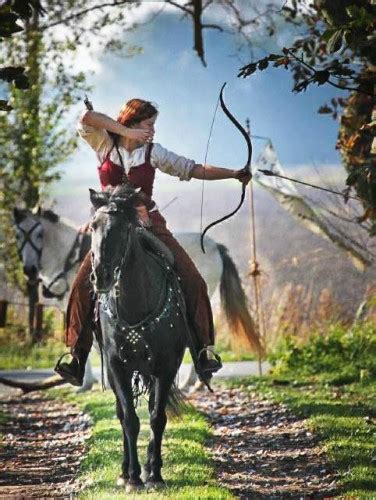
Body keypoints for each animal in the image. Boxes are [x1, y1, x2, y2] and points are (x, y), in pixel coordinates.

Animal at [88, 185, 188, 492]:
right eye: (93, 226)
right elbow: (130, 419)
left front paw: (154, 474)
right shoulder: (117, 366)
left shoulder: (166, 367)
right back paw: (125, 471)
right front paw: (133, 478)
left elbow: (157, 418)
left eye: (123, 228)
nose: (101, 276)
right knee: (122, 414)